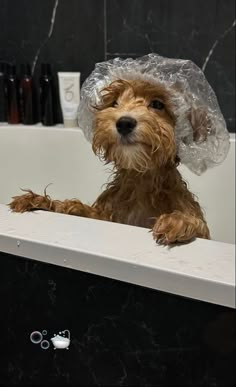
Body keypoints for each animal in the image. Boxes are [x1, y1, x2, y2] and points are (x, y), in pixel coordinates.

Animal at [9, 79, 209, 246]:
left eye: (157, 104)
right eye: (114, 103)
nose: (124, 122)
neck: (142, 182)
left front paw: (178, 220)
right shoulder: (106, 216)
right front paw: (42, 202)